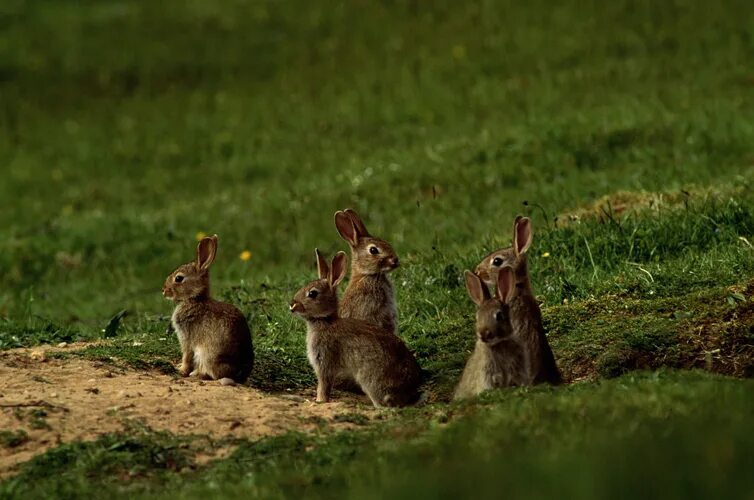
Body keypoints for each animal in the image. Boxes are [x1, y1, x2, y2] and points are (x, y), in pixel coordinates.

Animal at [160, 236, 254, 384]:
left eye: (179, 278)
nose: (164, 290)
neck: (194, 299)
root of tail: (239, 375)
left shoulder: (187, 338)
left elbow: (186, 356)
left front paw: (181, 370)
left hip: (207, 355)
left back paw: (196, 374)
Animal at [288, 248, 420, 408]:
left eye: (312, 293)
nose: (292, 305)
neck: (325, 321)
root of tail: (410, 392)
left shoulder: (324, 361)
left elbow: (324, 385)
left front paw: (319, 401)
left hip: (370, 380)